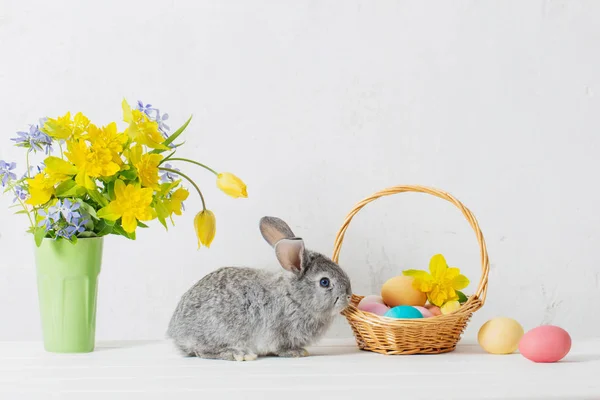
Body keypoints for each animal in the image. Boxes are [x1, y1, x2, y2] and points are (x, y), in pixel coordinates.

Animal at [165, 217, 352, 360]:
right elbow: (281, 348)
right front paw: (297, 352)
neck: (295, 298)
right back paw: (238, 354)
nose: (349, 296)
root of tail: (175, 333)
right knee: (202, 351)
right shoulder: (279, 333)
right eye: (324, 282)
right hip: (218, 331)